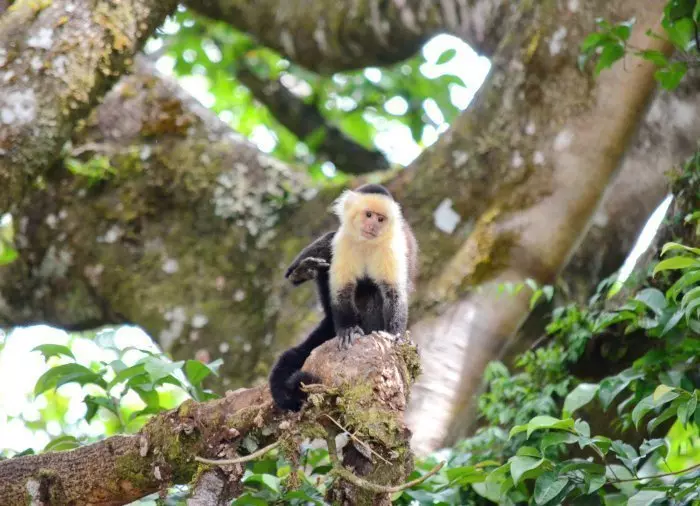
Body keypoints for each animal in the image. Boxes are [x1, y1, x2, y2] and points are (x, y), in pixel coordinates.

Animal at [269, 184, 418, 411]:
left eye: (380, 219)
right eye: (368, 215)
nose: (373, 225)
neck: (366, 243)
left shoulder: (392, 247)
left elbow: (393, 294)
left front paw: (395, 336)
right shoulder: (344, 242)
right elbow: (342, 290)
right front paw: (347, 329)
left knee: (374, 293)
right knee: (328, 242)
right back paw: (301, 272)